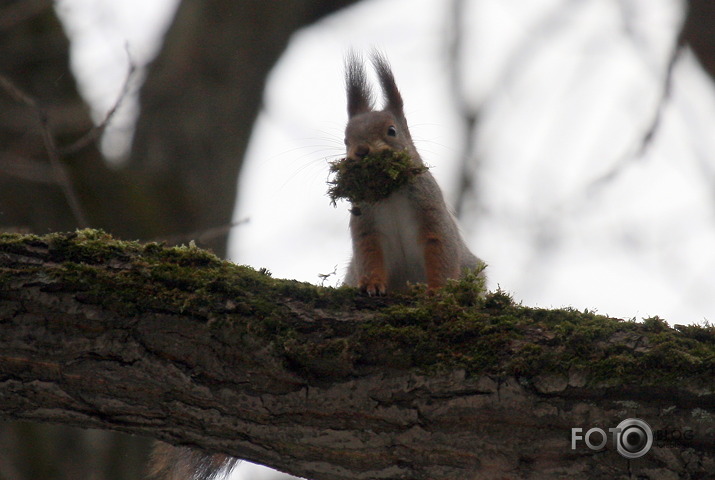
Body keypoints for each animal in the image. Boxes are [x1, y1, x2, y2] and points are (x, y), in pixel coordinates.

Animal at [342, 51, 486, 292]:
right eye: (346, 140)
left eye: (392, 131)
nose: (361, 151)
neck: (390, 192)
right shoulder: (364, 223)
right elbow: (368, 254)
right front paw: (372, 284)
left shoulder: (431, 209)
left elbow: (441, 248)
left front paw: (438, 290)